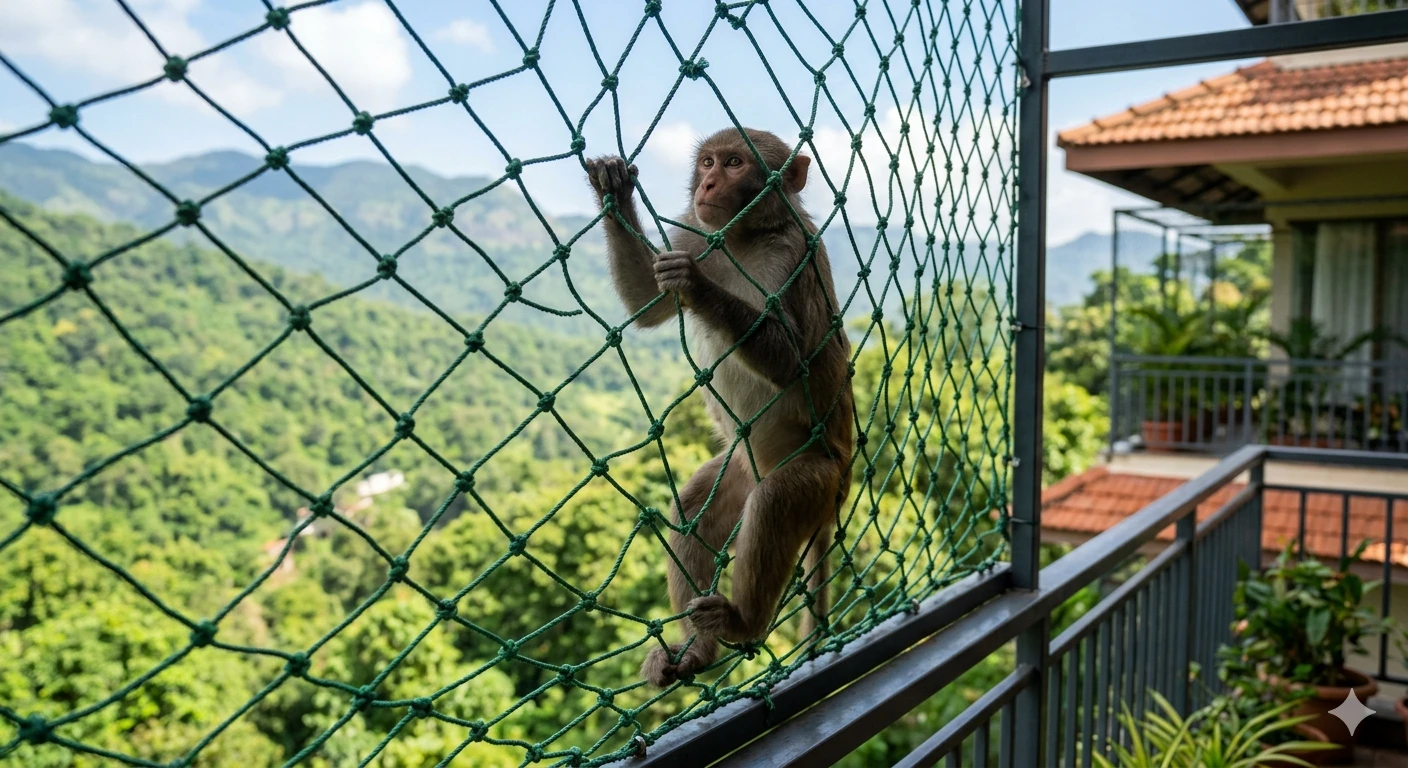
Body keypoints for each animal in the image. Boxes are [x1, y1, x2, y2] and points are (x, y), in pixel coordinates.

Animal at [585, 127, 853, 687]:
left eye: (734, 164)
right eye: (708, 162)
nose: (707, 183)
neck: (740, 238)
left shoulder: (791, 254)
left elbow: (793, 361)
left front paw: (698, 286)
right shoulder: (695, 232)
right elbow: (647, 304)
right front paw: (614, 188)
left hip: (821, 477)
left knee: (774, 501)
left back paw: (740, 622)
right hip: (739, 473)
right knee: (694, 509)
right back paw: (697, 648)